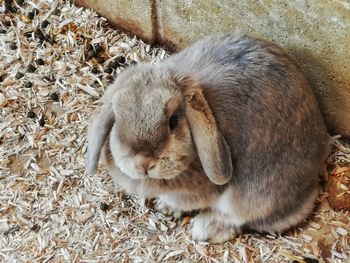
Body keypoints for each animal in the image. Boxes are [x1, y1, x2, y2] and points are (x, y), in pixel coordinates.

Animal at [86, 32, 330, 243]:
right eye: (118, 120)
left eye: (173, 121)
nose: (144, 163)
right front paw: (165, 206)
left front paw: (168, 206)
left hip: (256, 195)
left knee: (240, 216)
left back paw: (206, 229)